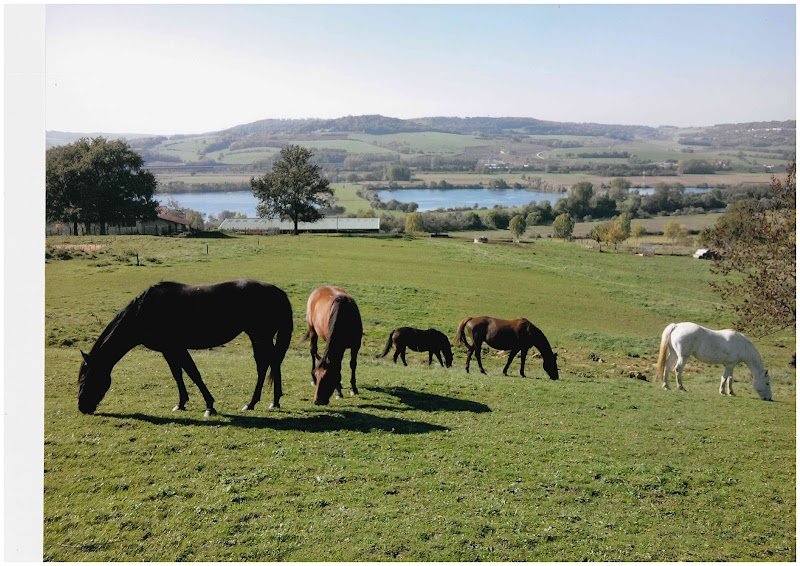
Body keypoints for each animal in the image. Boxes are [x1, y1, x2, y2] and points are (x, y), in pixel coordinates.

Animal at [77, 280, 293, 417]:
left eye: (85, 380)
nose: (82, 407)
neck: (143, 312)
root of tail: (278, 292)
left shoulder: (176, 347)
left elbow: (192, 373)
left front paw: (209, 406)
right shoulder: (169, 350)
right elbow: (178, 374)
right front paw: (181, 404)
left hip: (260, 336)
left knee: (265, 364)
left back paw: (254, 403)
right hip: (261, 337)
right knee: (272, 363)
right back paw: (272, 401)